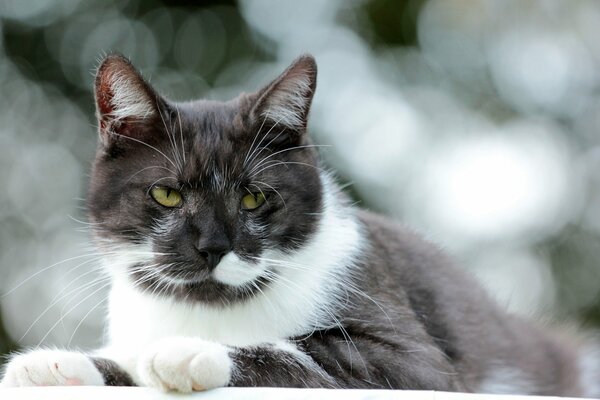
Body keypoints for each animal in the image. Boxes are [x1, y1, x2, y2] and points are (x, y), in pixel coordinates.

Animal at [1, 54, 600, 396]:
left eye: (254, 197)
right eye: (167, 193)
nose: (212, 246)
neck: (210, 308)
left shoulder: (419, 363)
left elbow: (302, 349)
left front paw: (184, 353)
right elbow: (122, 359)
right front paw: (56, 365)